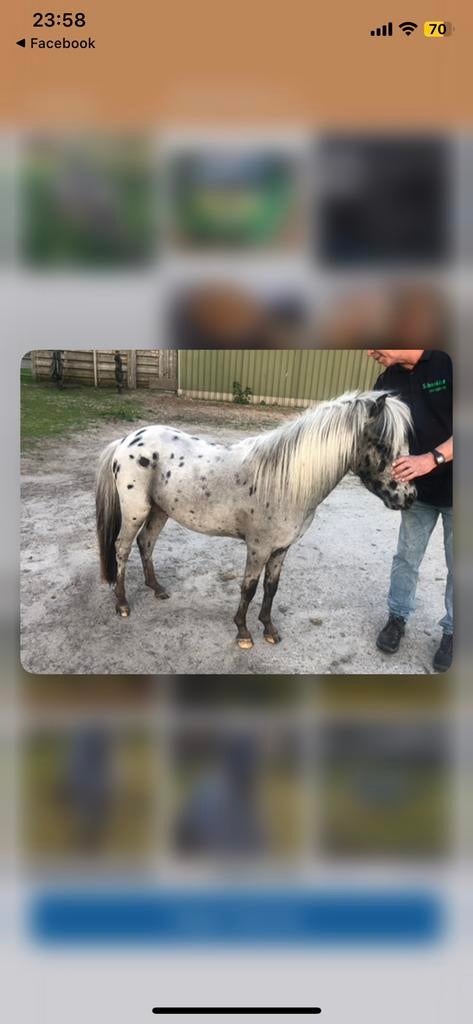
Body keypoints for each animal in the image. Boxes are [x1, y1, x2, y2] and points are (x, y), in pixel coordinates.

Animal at [95, 390, 416, 649]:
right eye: (382, 445)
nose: (409, 497)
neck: (284, 481)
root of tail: (126, 441)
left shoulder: (281, 549)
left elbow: (271, 588)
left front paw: (269, 629)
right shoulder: (258, 548)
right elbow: (248, 588)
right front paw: (243, 633)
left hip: (160, 511)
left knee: (146, 543)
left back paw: (157, 589)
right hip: (136, 511)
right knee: (122, 548)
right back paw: (122, 603)